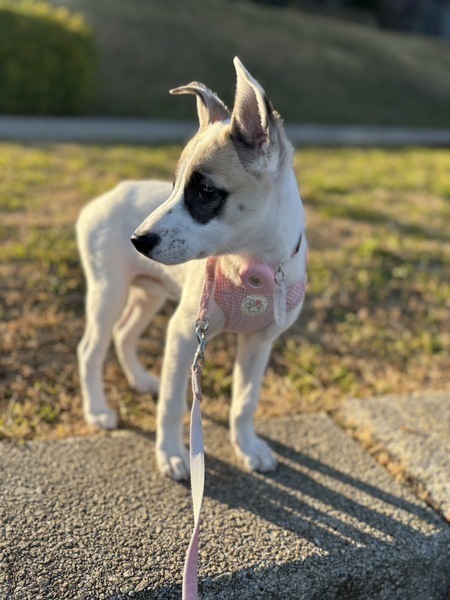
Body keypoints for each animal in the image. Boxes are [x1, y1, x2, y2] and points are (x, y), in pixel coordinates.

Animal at [76, 57, 307, 481]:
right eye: (174, 186)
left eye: (204, 191)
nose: (138, 240)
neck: (252, 267)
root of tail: (103, 198)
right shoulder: (185, 332)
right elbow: (173, 403)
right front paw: (171, 453)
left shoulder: (259, 342)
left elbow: (245, 401)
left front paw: (247, 447)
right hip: (109, 292)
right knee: (90, 349)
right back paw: (98, 410)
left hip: (148, 293)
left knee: (124, 334)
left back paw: (140, 380)